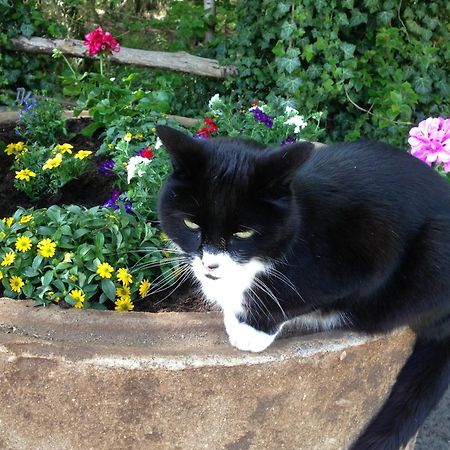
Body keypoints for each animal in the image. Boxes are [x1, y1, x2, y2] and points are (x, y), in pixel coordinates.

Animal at [156, 125, 450, 450]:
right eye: (191, 225)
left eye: (243, 233)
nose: (211, 265)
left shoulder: (366, 252)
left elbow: (300, 295)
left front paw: (250, 329)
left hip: (435, 251)